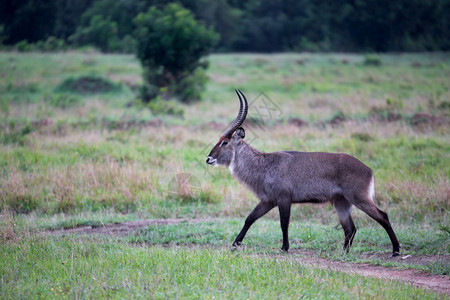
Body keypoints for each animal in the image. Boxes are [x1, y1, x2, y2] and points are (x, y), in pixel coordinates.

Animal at [207, 89, 400, 255]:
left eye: (224, 142)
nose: (208, 159)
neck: (264, 164)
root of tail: (369, 169)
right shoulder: (268, 200)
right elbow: (250, 218)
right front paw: (235, 244)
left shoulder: (284, 198)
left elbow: (284, 223)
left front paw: (285, 248)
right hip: (341, 203)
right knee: (350, 228)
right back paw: (344, 252)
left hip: (359, 198)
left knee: (382, 216)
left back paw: (396, 251)